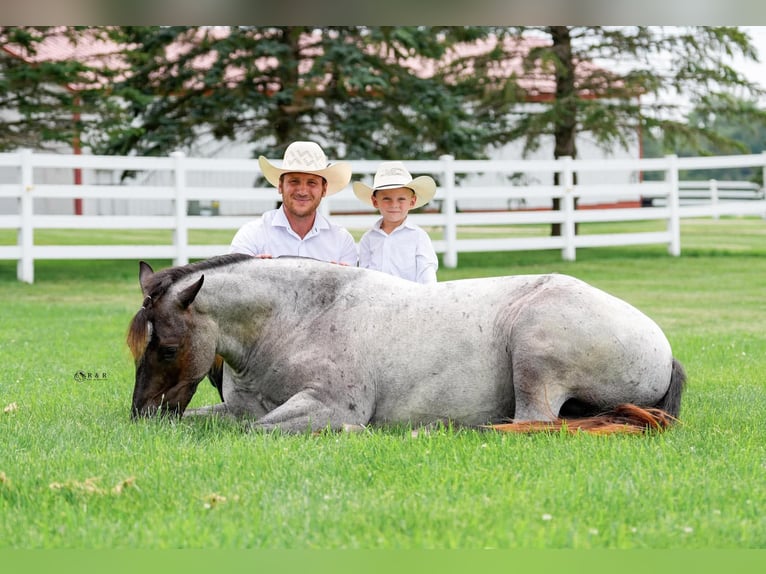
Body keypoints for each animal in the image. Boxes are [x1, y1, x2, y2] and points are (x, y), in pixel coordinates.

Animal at [127, 254, 686, 434]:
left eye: (168, 348)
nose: (142, 414)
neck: (295, 318)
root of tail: (662, 345)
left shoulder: (327, 406)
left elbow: (256, 431)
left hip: (535, 356)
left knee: (532, 424)